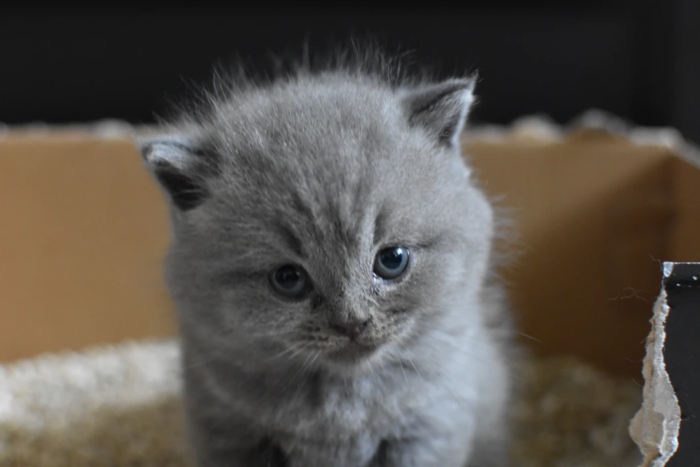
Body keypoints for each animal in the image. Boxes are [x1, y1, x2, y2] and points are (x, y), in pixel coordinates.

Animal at [137, 55, 516, 467]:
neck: (341, 406)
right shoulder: (227, 430)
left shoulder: (430, 424)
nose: (352, 323)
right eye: (288, 278)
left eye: (392, 260)